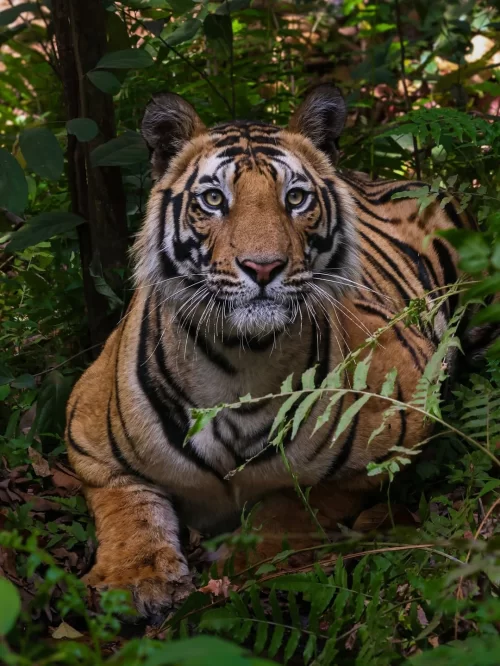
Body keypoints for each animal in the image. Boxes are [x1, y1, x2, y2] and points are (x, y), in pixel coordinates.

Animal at [66, 85, 470, 619]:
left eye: (295, 198)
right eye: (213, 199)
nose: (263, 267)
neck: (241, 363)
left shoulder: (405, 417)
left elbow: (300, 501)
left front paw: (250, 560)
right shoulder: (87, 435)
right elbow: (127, 505)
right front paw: (135, 577)